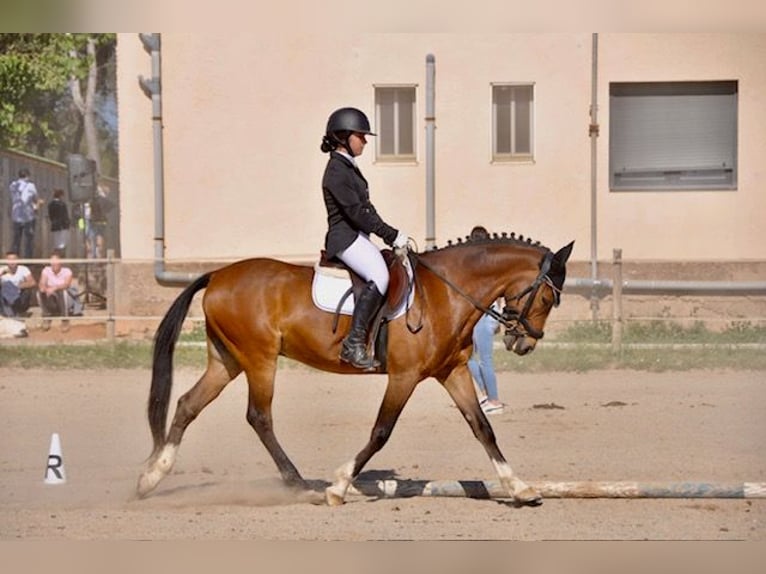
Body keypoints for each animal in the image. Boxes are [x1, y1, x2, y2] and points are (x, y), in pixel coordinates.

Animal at [137, 232, 574, 506]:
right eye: (547, 298)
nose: (524, 343)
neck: (447, 292)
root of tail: (218, 275)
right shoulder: (404, 377)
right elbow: (381, 431)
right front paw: (339, 485)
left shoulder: (452, 372)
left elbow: (482, 428)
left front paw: (520, 489)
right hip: (259, 359)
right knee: (258, 416)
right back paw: (300, 485)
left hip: (227, 360)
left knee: (188, 404)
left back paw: (151, 477)